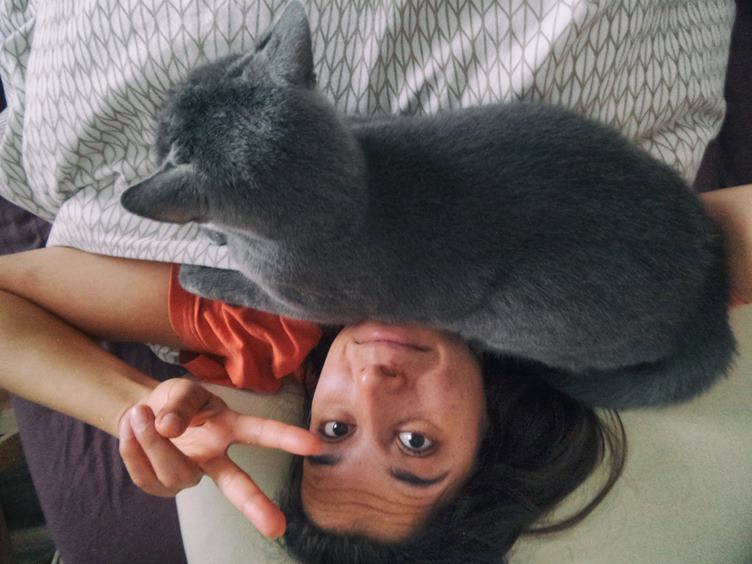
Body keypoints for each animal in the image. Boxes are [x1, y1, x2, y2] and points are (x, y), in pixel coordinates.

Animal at [121, 1, 736, 409]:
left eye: (161, 137)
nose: (157, 117)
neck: (357, 188)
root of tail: (708, 296)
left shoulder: (302, 301)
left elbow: (242, 285)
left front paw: (198, 268)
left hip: (522, 311)